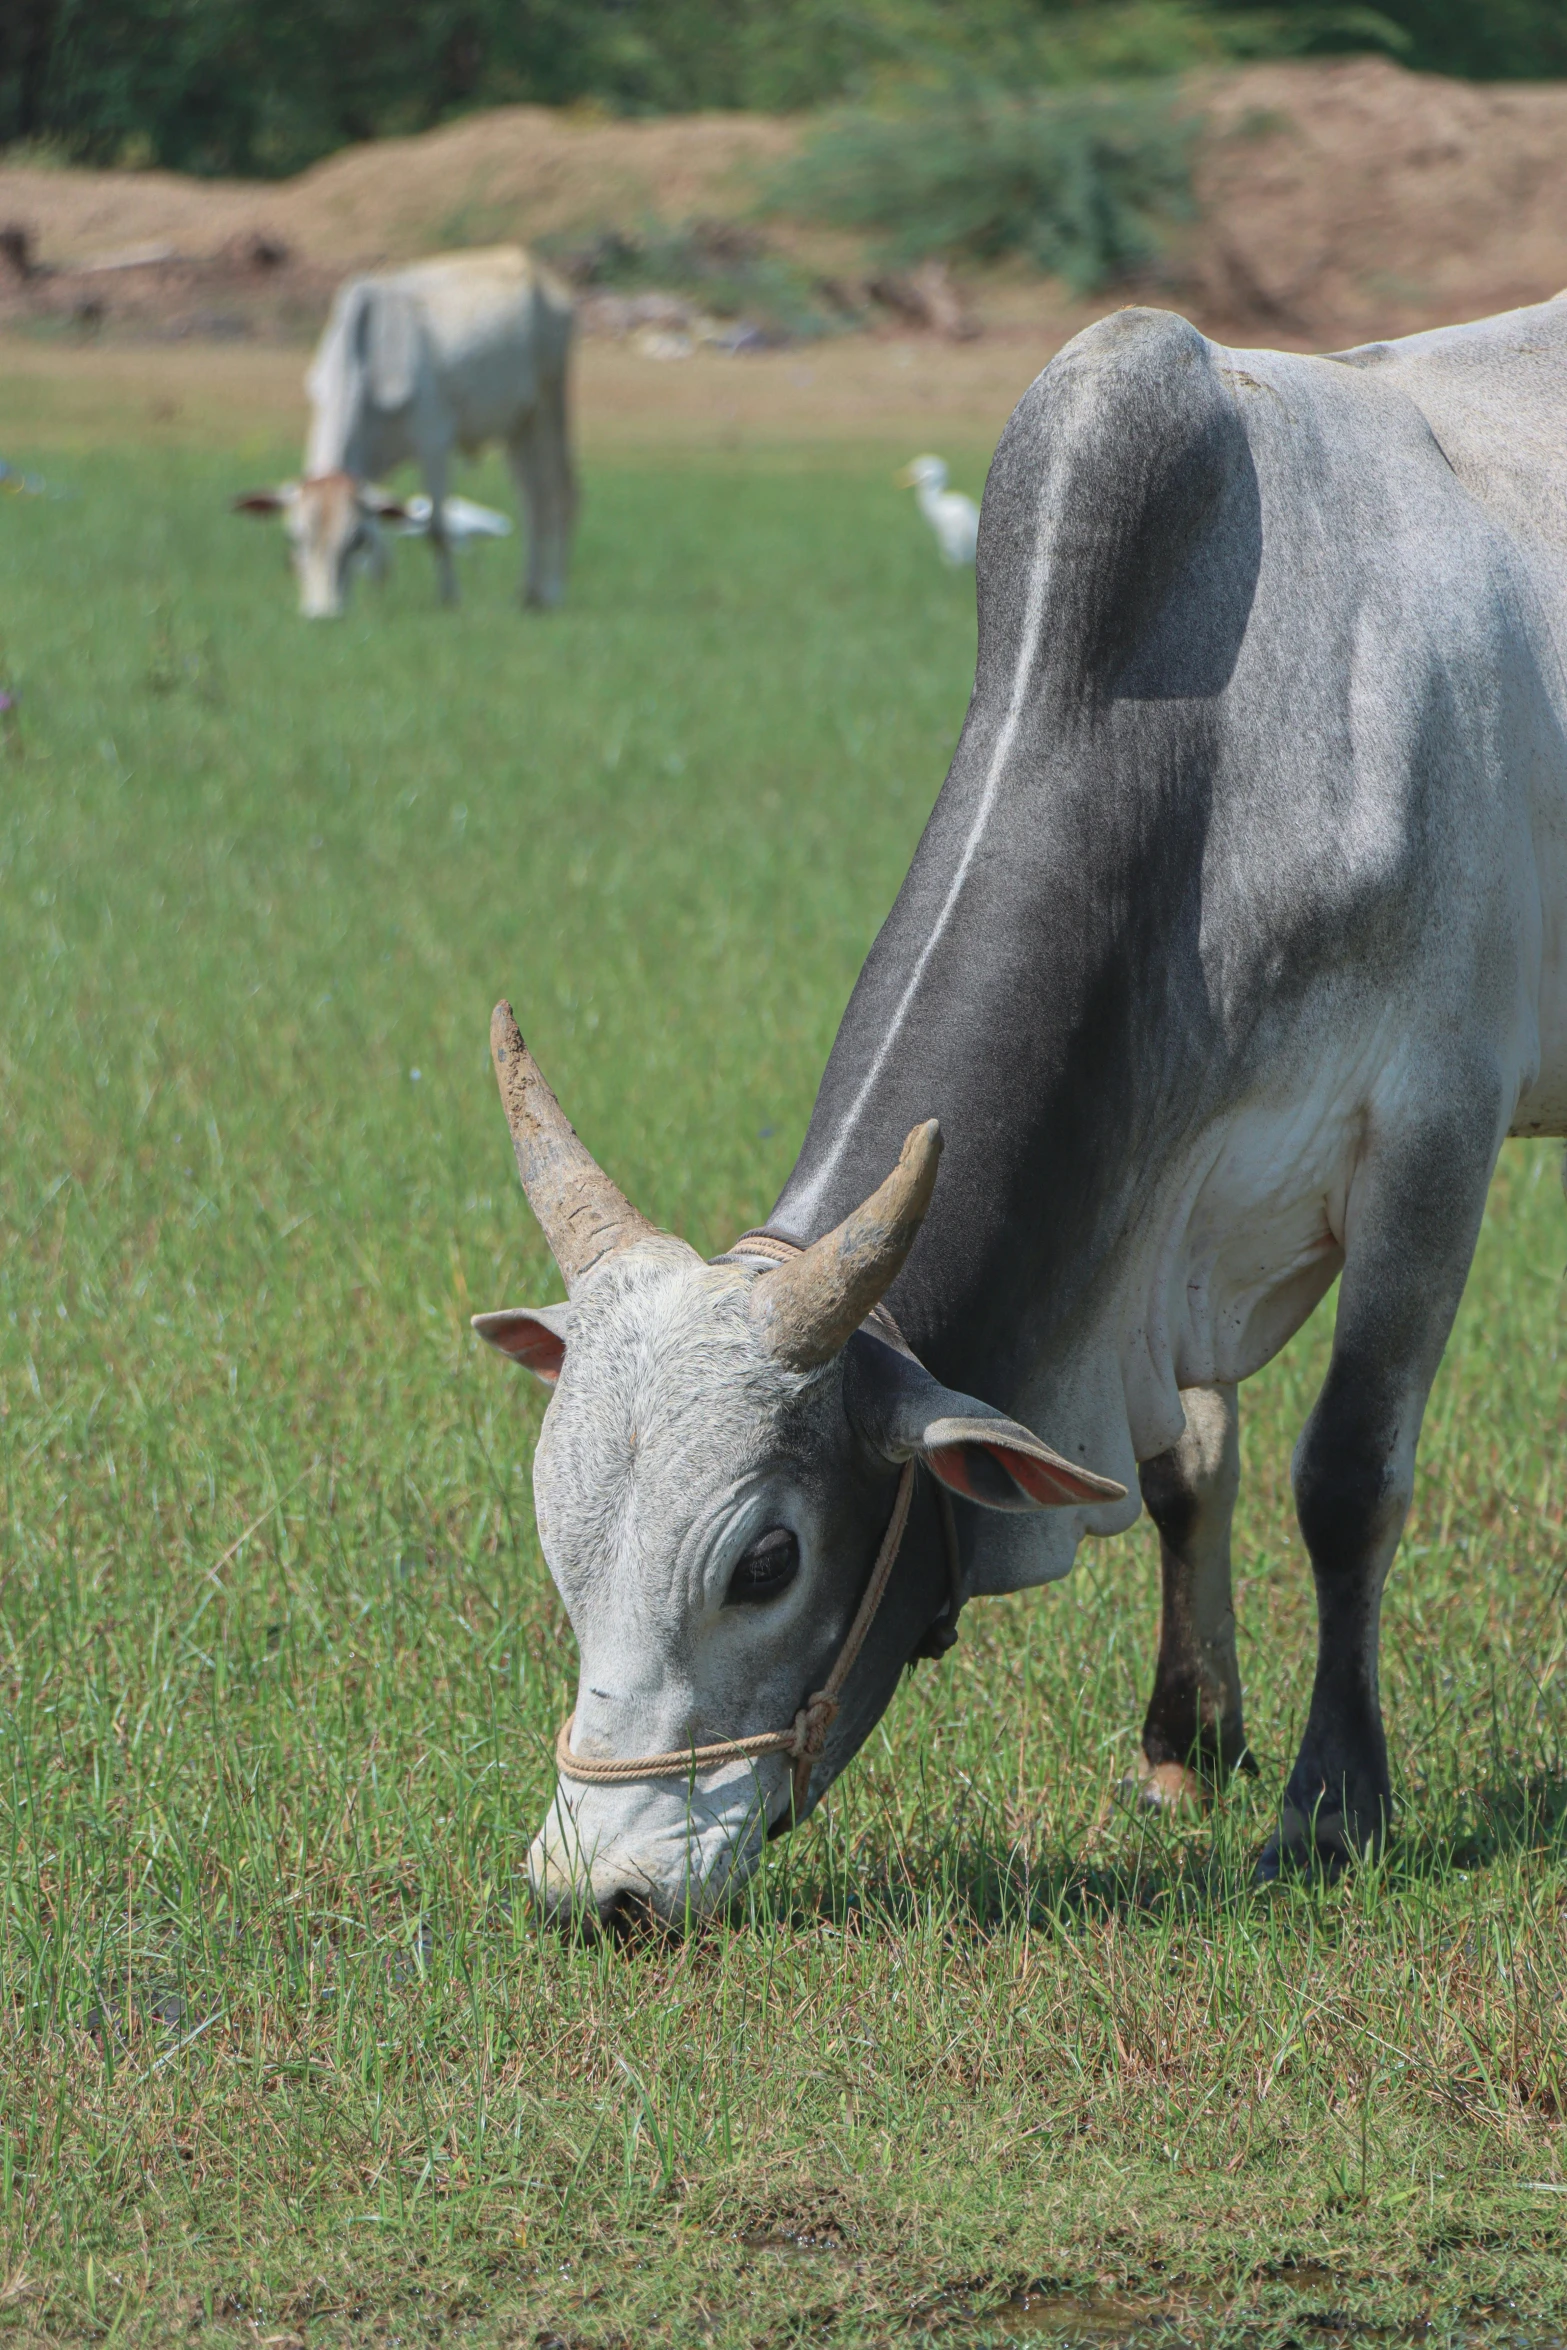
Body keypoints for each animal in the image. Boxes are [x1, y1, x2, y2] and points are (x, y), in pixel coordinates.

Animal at [232, 247, 575, 620]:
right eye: (294, 539)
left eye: (354, 540)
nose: (324, 615)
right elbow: (381, 536)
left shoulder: (434, 441)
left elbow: (437, 528)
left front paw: (449, 598)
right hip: (517, 426)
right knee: (530, 499)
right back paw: (530, 592)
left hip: (549, 404)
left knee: (558, 496)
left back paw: (551, 592)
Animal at [474, 293, 1567, 1917]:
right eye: (558, 1532)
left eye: (764, 1562)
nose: (593, 1888)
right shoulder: (1157, 1188)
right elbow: (1184, 1467)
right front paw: (1186, 1738)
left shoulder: (1432, 1132)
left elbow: (1345, 1476)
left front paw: (1328, 1803)